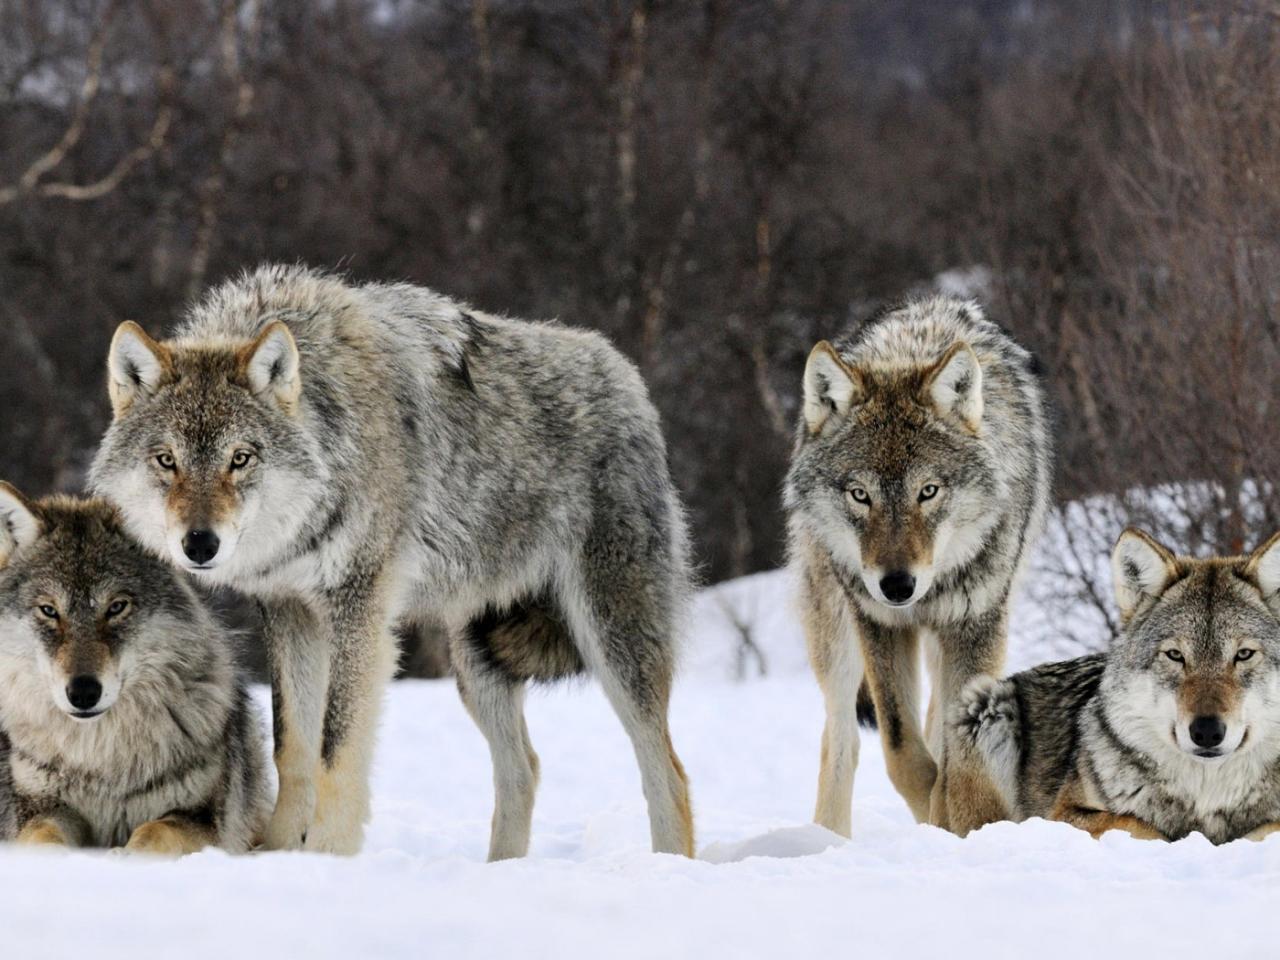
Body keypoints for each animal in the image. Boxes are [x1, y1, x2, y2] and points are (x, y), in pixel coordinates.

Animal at [0, 491, 267, 855]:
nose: (83, 692)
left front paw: (124, 858)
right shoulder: (39, 808)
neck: (101, 758)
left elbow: (154, 832)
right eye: (49, 611)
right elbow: (43, 837)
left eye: (116, 607)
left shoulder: (200, 818)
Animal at [88, 263, 696, 855]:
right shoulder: (289, 611)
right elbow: (293, 748)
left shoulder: (359, 610)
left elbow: (335, 751)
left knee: (668, 772)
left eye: (240, 458)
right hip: (476, 661)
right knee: (524, 768)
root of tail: (627, 376)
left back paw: (667, 865)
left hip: (612, 641)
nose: (200, 544)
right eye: (167, 460)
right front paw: (280, 853)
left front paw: (325, 857)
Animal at [788, 299, 1049, 834]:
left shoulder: (977, 624)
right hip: (835, 632)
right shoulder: (880, 623)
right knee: (840, 738)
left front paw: (955, 821)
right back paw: (827, 838)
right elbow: (902, 750)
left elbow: (954, 750)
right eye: (860, 494)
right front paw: (934, 815)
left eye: (928, 491)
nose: (897, 585)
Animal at [957, 529, 1280, 844]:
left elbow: (1265, 828)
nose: (1207, 731)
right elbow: (1140, 826)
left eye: (1244, 654)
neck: (1207, 797)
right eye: (1175, 655)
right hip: (987, 706)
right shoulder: (1062, 813)